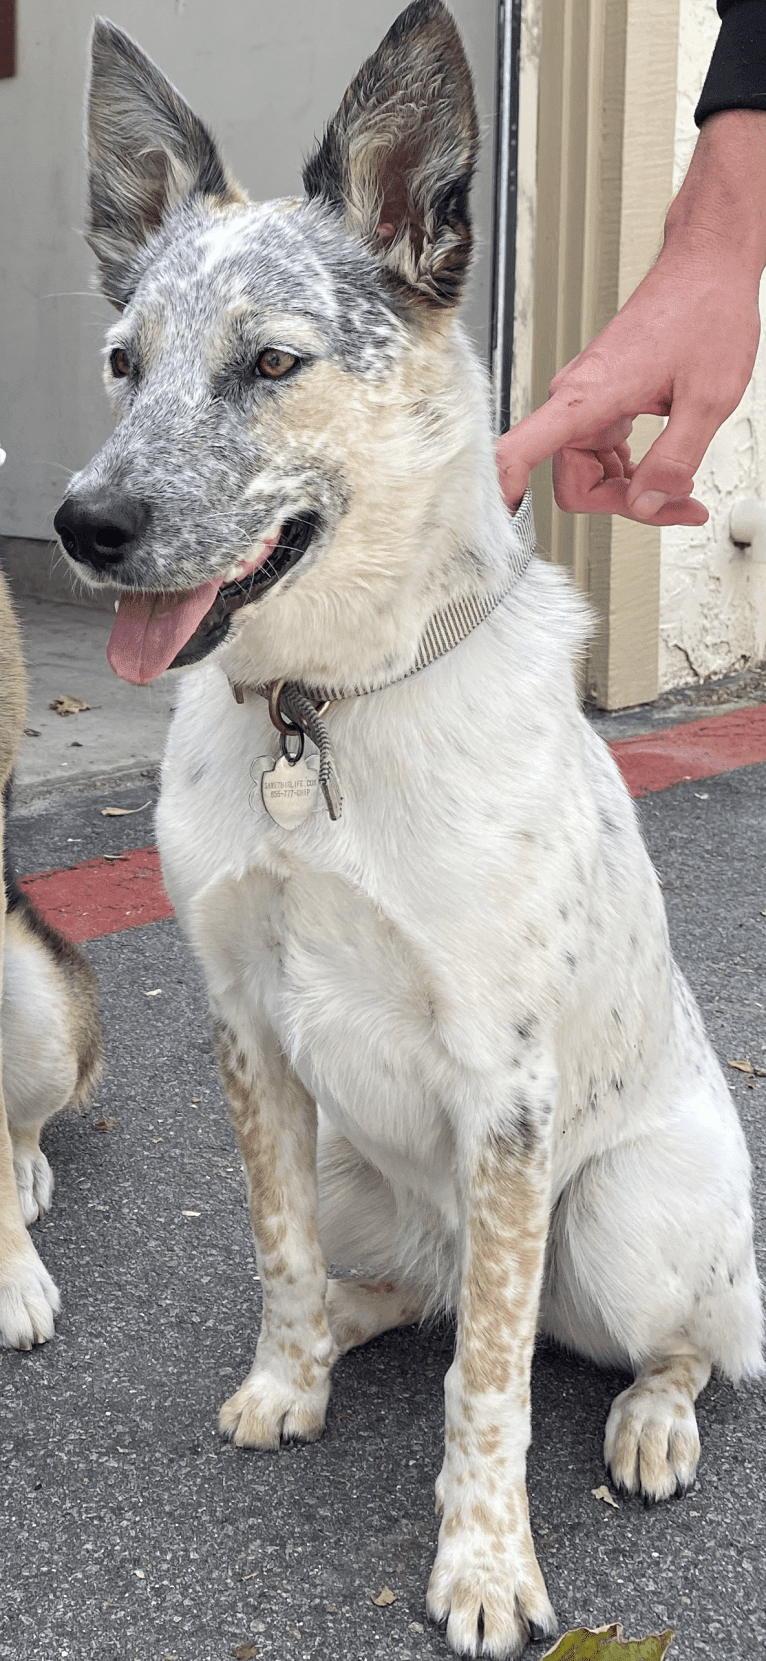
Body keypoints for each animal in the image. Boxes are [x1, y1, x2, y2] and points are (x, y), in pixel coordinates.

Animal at [53, 6, 757, 1654]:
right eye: (124, 363)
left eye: (270, 361)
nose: (80, 526)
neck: (320, 710)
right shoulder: (245, 1025)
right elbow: (280, 1254)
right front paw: (286, 1378)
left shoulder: (506, 1086)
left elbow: (486, 1383)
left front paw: (487, 1563)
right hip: (364, 1179)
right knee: (406, 1295)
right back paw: (352, 1329)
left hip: (622, 1215)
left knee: (651, 1337)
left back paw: (652, 1418)